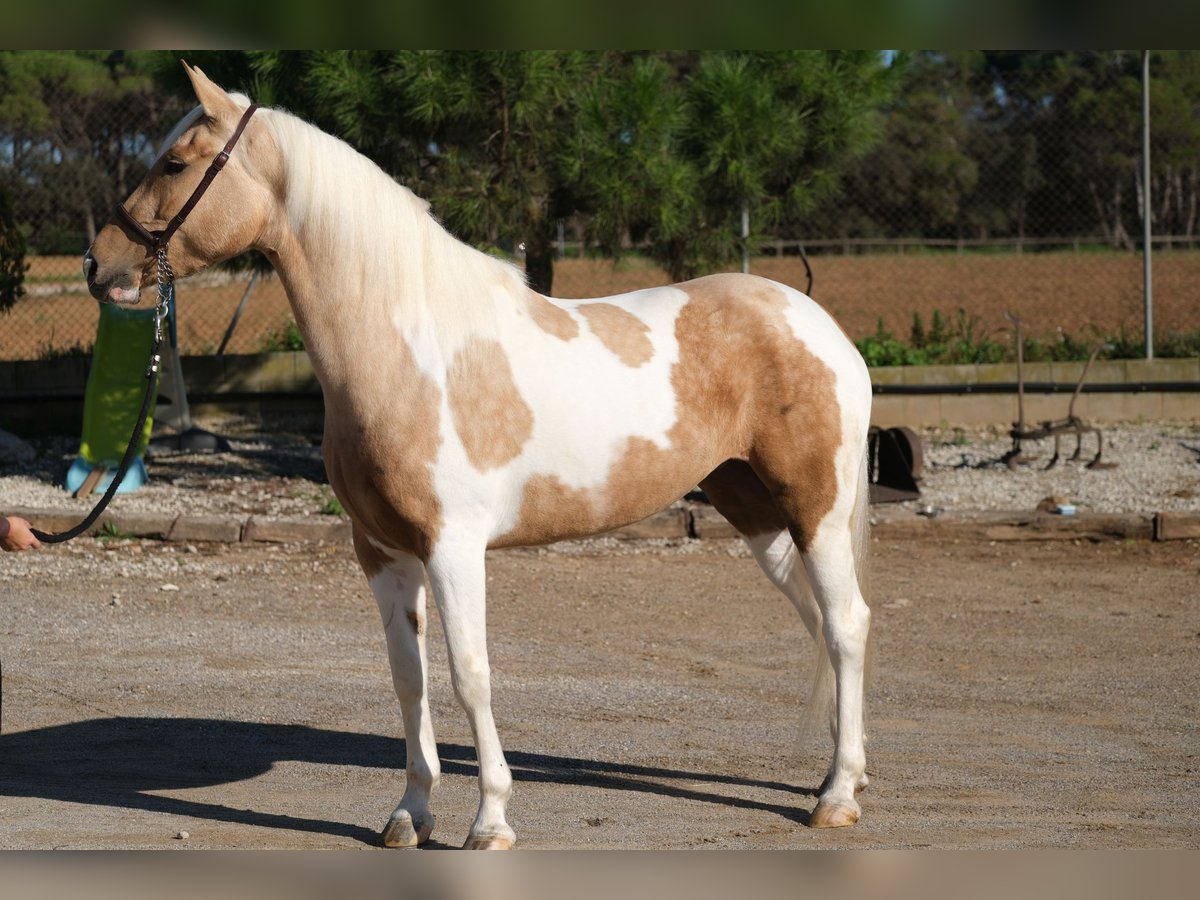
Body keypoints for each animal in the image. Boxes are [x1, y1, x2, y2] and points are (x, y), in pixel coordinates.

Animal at [84, 66, 873, 849]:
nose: (99, 264)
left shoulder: (453, 547)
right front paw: (411, 813)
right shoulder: (382, 551)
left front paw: (490, 819)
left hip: (816, 509)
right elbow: (409, 679)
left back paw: (836, 796)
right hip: (756, 511)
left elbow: (470, 673)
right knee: (819, 622)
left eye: (175, 163)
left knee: (846, 624)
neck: (408, 349)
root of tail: (817, 322)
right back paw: (845, 773)